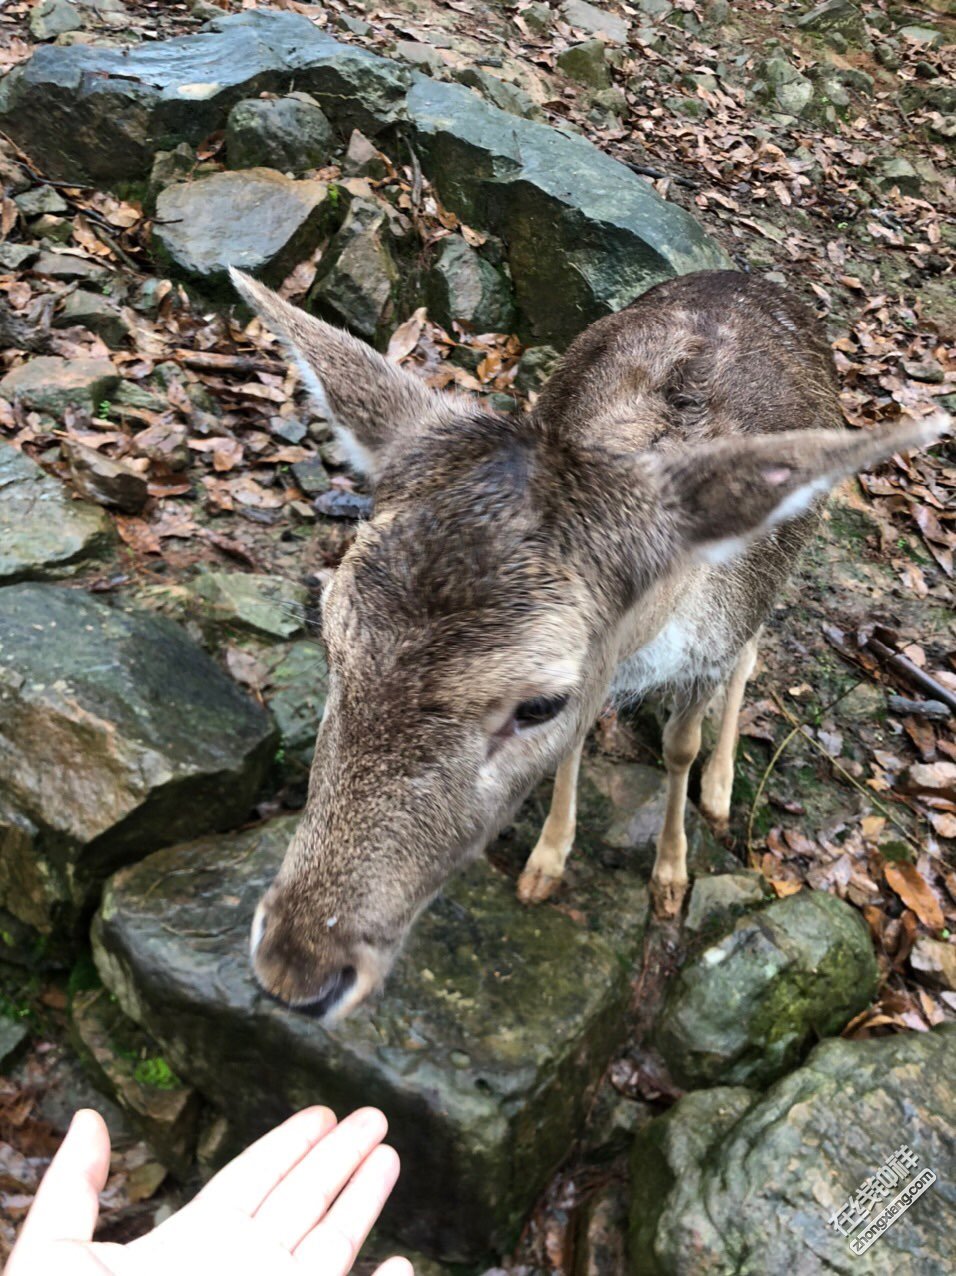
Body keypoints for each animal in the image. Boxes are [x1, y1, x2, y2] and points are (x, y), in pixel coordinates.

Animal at [233, 264, 949, 1020]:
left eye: (537, 704)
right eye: (330, 635)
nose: (296, 970)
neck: (650, 646)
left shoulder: (709, 642)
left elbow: (680, 746)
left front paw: (671, 874)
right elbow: (578, 748)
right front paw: (546, 863)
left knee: (753, 653)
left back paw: (721, 788)